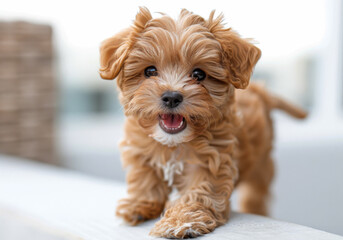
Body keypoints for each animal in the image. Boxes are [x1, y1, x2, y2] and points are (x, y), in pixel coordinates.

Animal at [99, 7, 306, 238]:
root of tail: (260, 90)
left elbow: (198, 193)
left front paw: (181, 221)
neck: (173, 144)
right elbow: (144, 178)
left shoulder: (211, 160)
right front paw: (139, 205)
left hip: (262, 163)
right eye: (150, 71)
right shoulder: (140, 150)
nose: (172, 97)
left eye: (199, 74)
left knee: (256, 193)